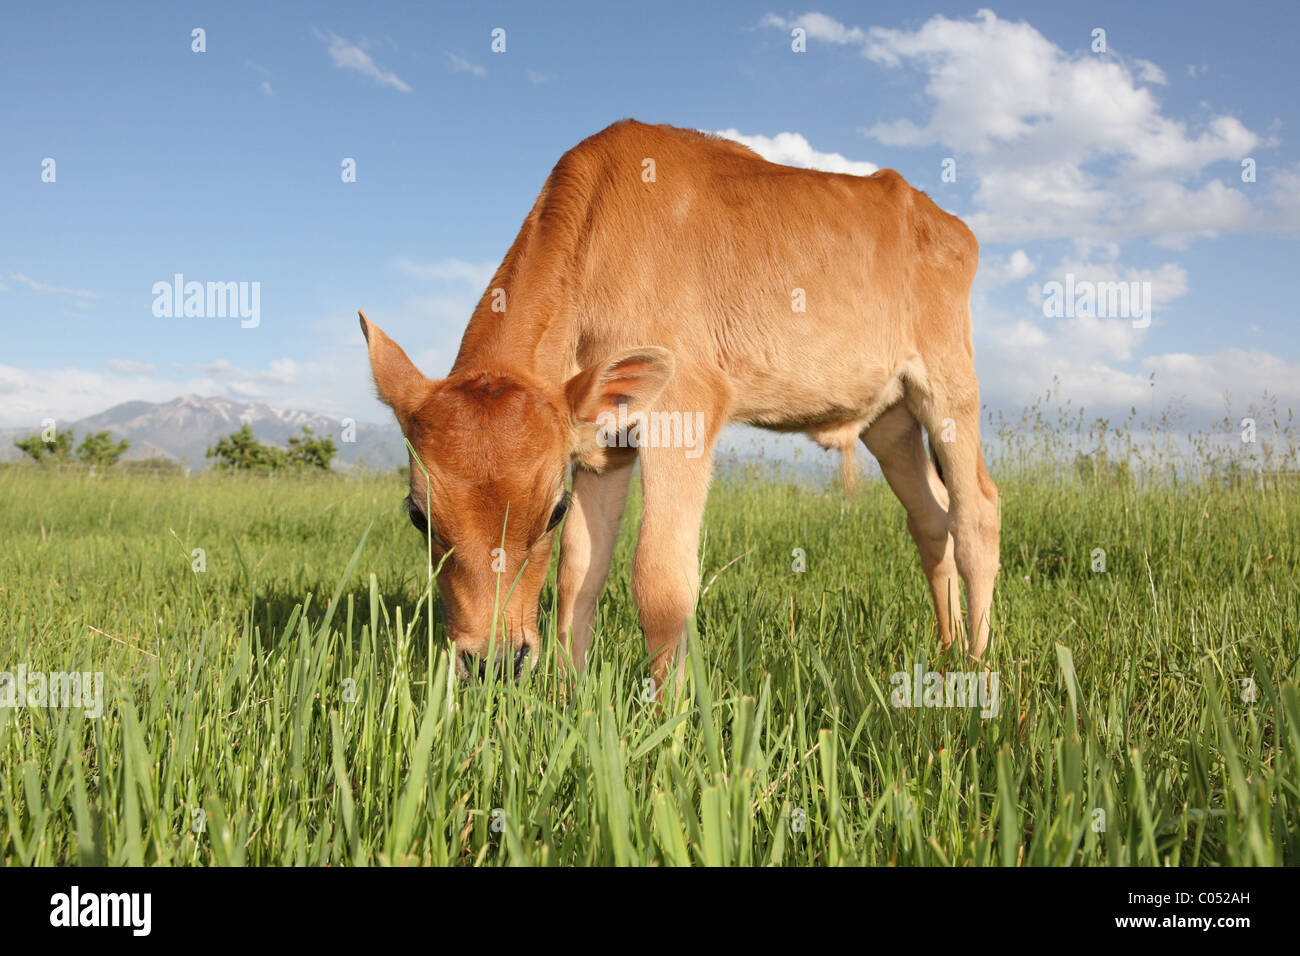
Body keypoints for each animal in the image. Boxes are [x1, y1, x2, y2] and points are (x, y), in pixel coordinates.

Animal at [361, 119, 998, 686]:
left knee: (977, 512)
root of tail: (944, 220)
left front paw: (666, 720)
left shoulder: (683, 409)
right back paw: (946, 647)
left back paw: (975, 661)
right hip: (889, 418)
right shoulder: (606, 442)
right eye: (418, 516)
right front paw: (568, 696)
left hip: (948, 383)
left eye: (552, 512)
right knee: (930, 517)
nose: (493, 664)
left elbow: (661, 582)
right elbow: (578, 573)